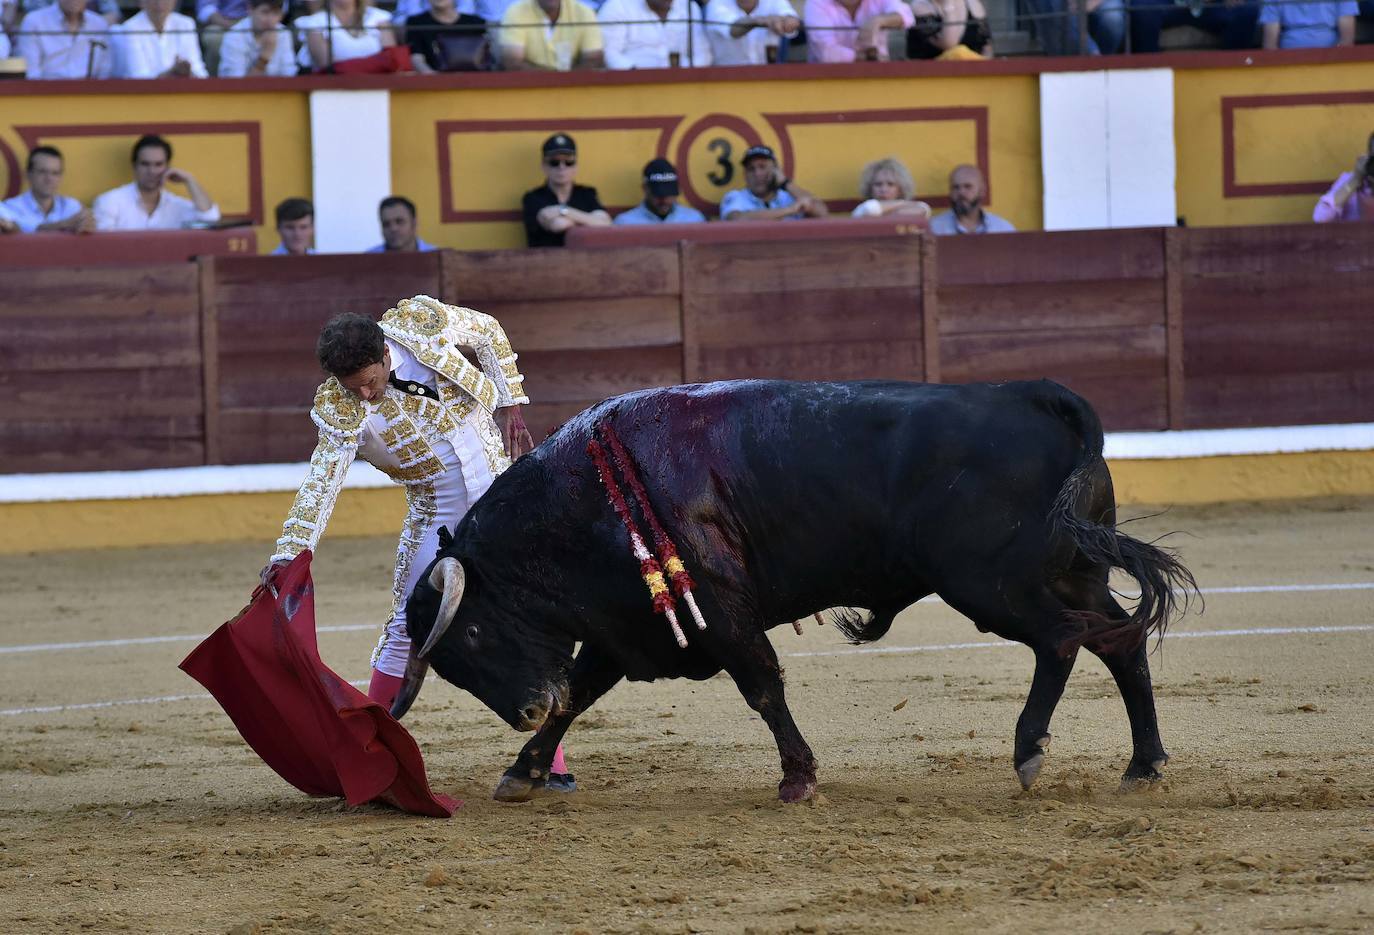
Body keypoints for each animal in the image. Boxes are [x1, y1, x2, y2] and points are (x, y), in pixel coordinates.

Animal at [392, 379, 1198, 803]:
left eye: (472, 633)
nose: (525, 710)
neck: (588, 498)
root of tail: (1034, 399)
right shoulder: (627, 629)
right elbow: (581, 697)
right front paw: (521, 771)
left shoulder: (720, 614)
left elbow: (762, 688)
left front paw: (799, 779)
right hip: (1070, 573)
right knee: (1120, 640)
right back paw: (1144, 763)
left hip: (993, 584)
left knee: (1062, 639)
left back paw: (1030, 750)